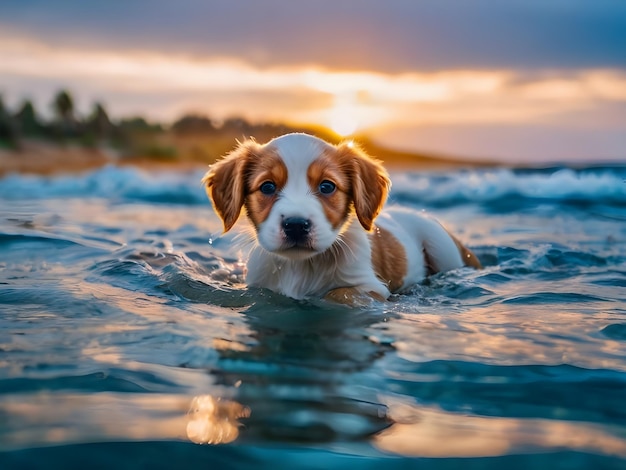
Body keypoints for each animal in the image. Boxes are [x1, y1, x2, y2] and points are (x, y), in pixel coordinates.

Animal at [201, 132, 478, 304]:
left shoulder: (371, 287)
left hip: (443, 248)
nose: (296, 225)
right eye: (267, 187)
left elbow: (339, 293)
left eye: (327, 186)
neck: (301, 267)